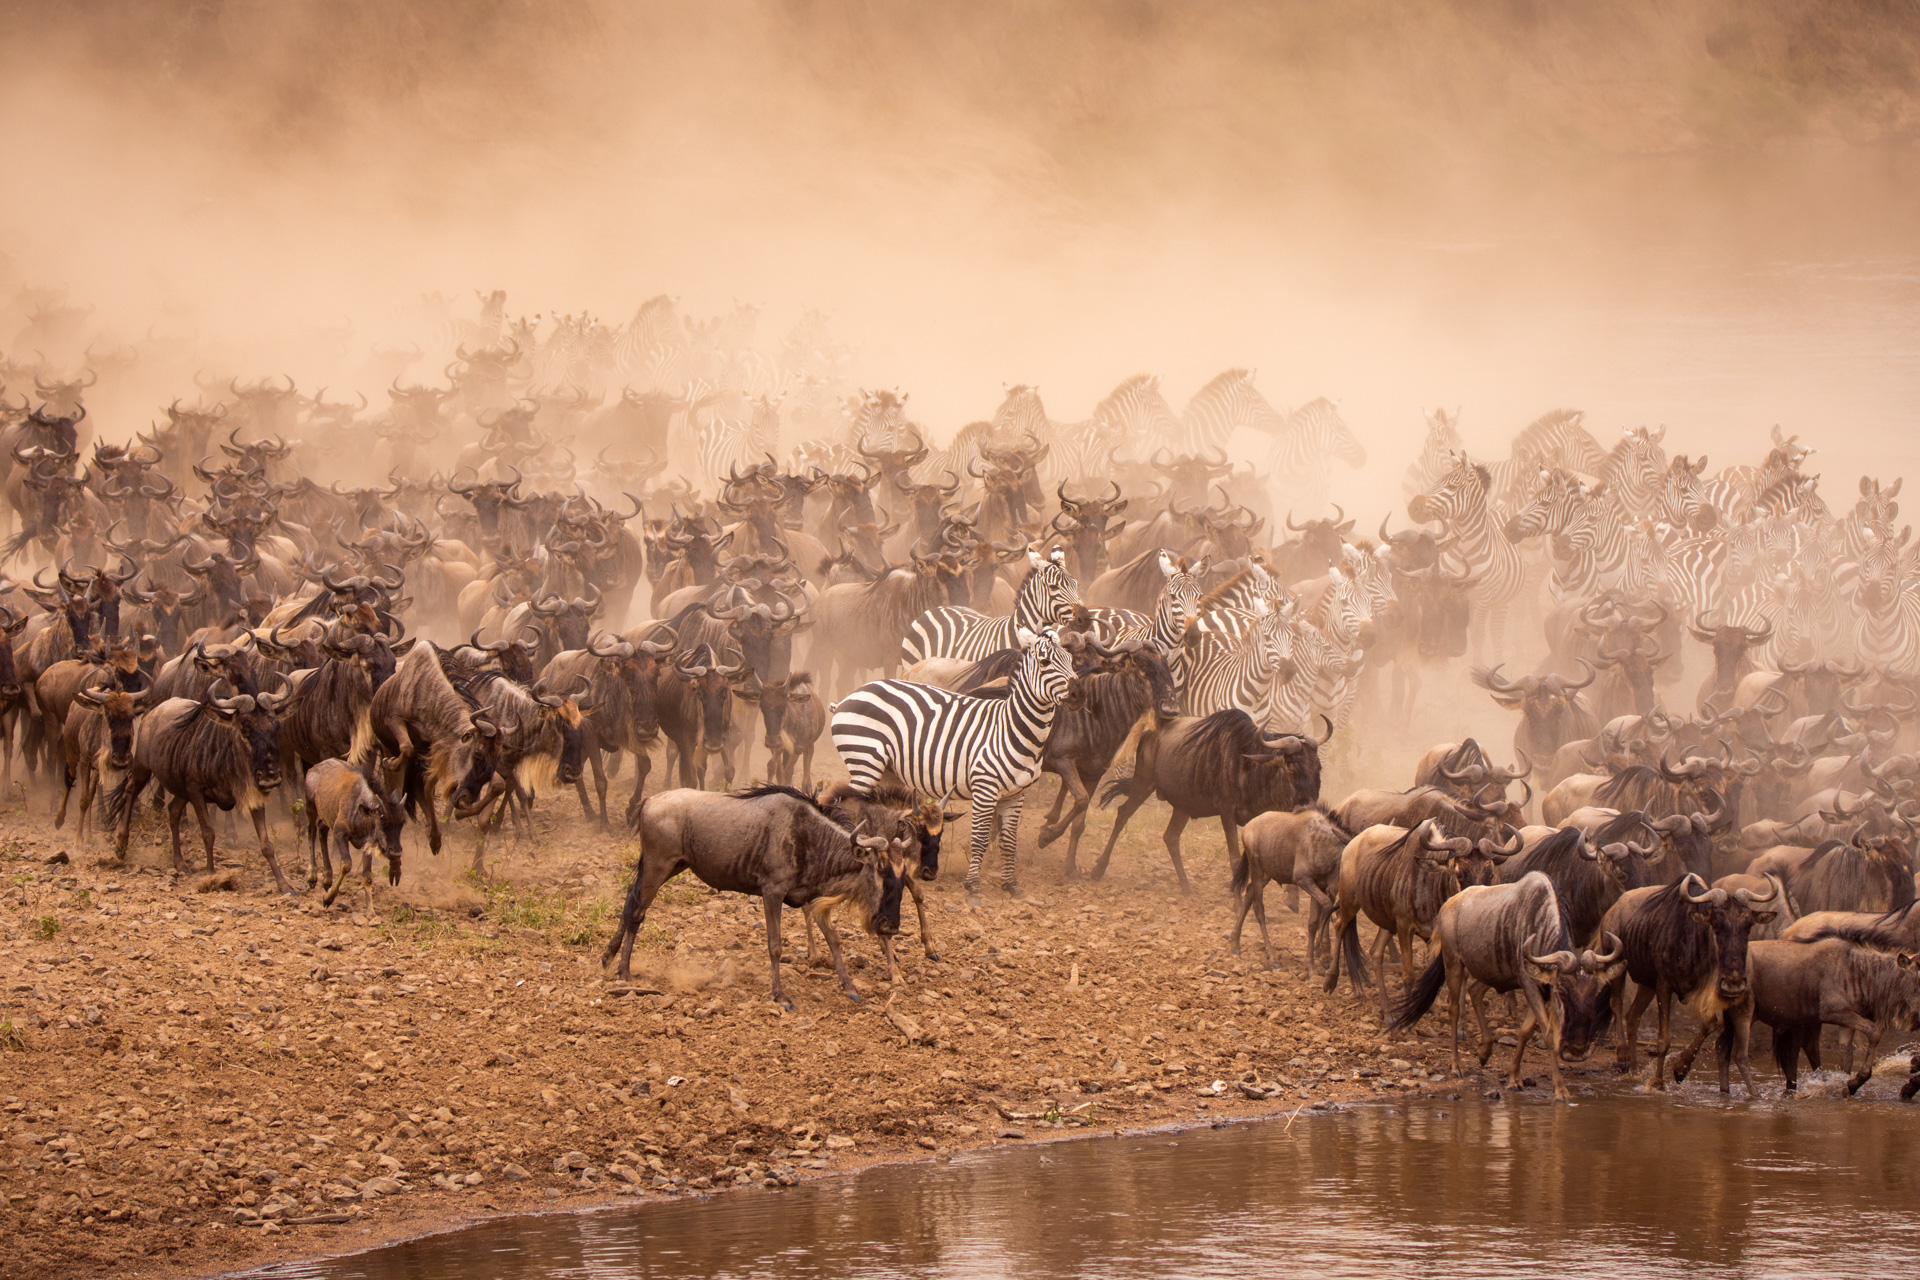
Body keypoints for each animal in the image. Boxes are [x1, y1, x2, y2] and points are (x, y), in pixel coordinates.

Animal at [833, 629, 1082, 898]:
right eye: (1045, 662)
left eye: (1071, 660)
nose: (1078, 694)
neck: (1010, 727)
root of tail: (856, 692)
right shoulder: (985, 788)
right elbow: (980, 839)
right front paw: (972, 885)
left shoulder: (1016, 794)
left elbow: (1009, 841)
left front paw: (1011, 885)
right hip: (864, 761)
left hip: (888, 771)